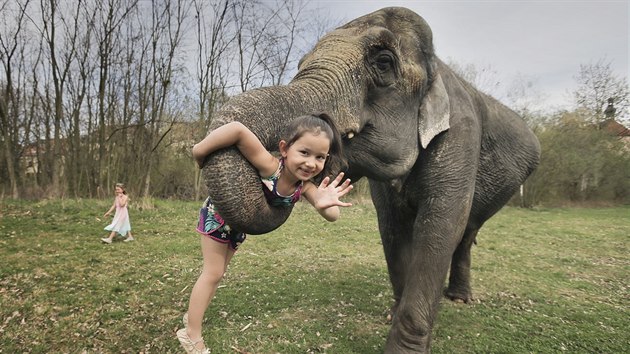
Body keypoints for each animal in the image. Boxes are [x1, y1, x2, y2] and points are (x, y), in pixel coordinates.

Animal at [202, 6, 544, 354]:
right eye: (300, 64)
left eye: (383, 62)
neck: (436, 66)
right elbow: (391, 227)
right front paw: (393, 312)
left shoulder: (461, 137)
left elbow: (439, 228)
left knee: (467, 230)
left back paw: (460, 299)